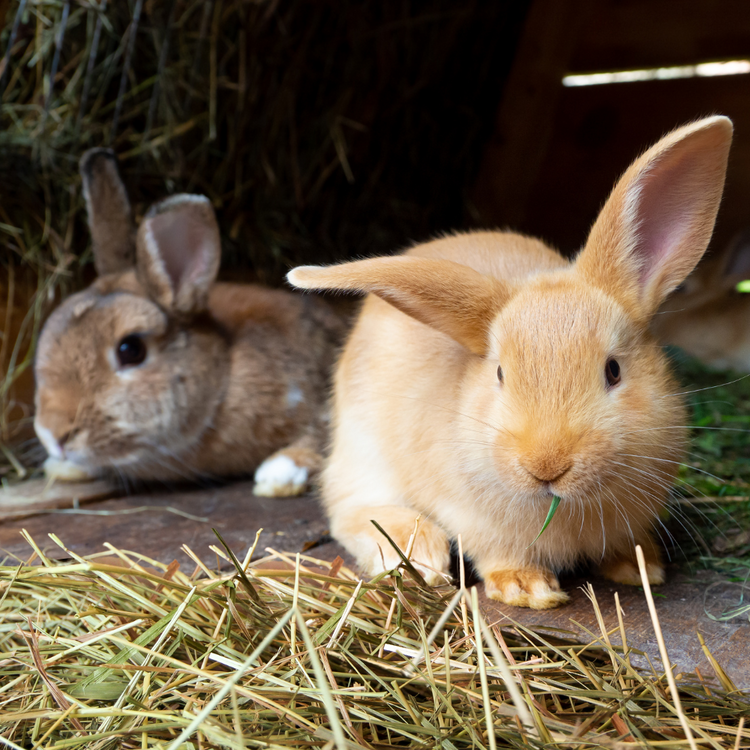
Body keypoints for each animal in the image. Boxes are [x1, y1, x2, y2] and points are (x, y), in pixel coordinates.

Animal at [288, 117, 736, 612]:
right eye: (500, 373)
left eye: (614, 370)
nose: (547, 466)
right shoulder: (474, 520)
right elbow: (499, 554)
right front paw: (530, 590)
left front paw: (642, 570)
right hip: (362, 449)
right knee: (352, 508)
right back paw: (418, 554)